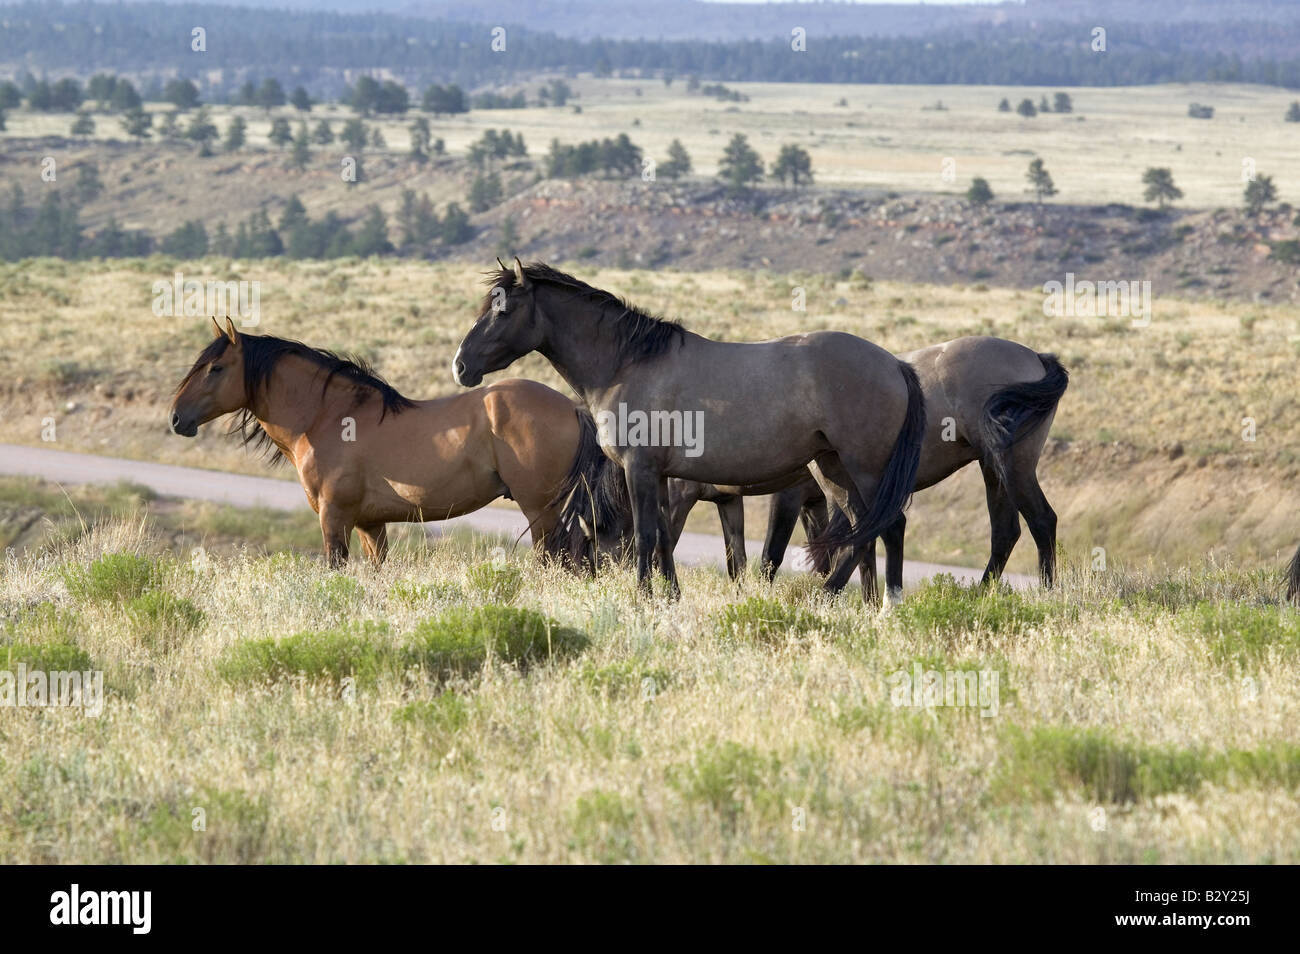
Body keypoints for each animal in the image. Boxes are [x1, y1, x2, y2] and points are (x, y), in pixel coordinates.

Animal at [169, 318, 605, 568]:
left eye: (215, 368)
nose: (176, 418)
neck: (329, 416)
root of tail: (572, 406)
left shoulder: (335, 518)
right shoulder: (370, 524)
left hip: (540, 509)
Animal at [452, 259, 927, 599]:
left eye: (503, 309)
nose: (460, 366)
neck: (628, 363)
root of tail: (894, 364)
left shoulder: (639, 469)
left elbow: (644, 536)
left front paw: (641, 598)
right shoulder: (663, 478)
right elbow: (664, 537)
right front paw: (670, 597)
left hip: (864, 468)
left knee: (888, 524)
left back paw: (870, 601)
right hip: (832, 468)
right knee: (864, 528)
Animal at [662, 337, 1069, 600]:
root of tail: (1035, 357)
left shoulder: (788, 496)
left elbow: (769, 556)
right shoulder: (799, 500)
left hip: (1013, 466)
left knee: (1041, 520)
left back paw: (1047, 597)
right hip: (992, 468)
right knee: (1005, 532)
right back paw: (980, 597)